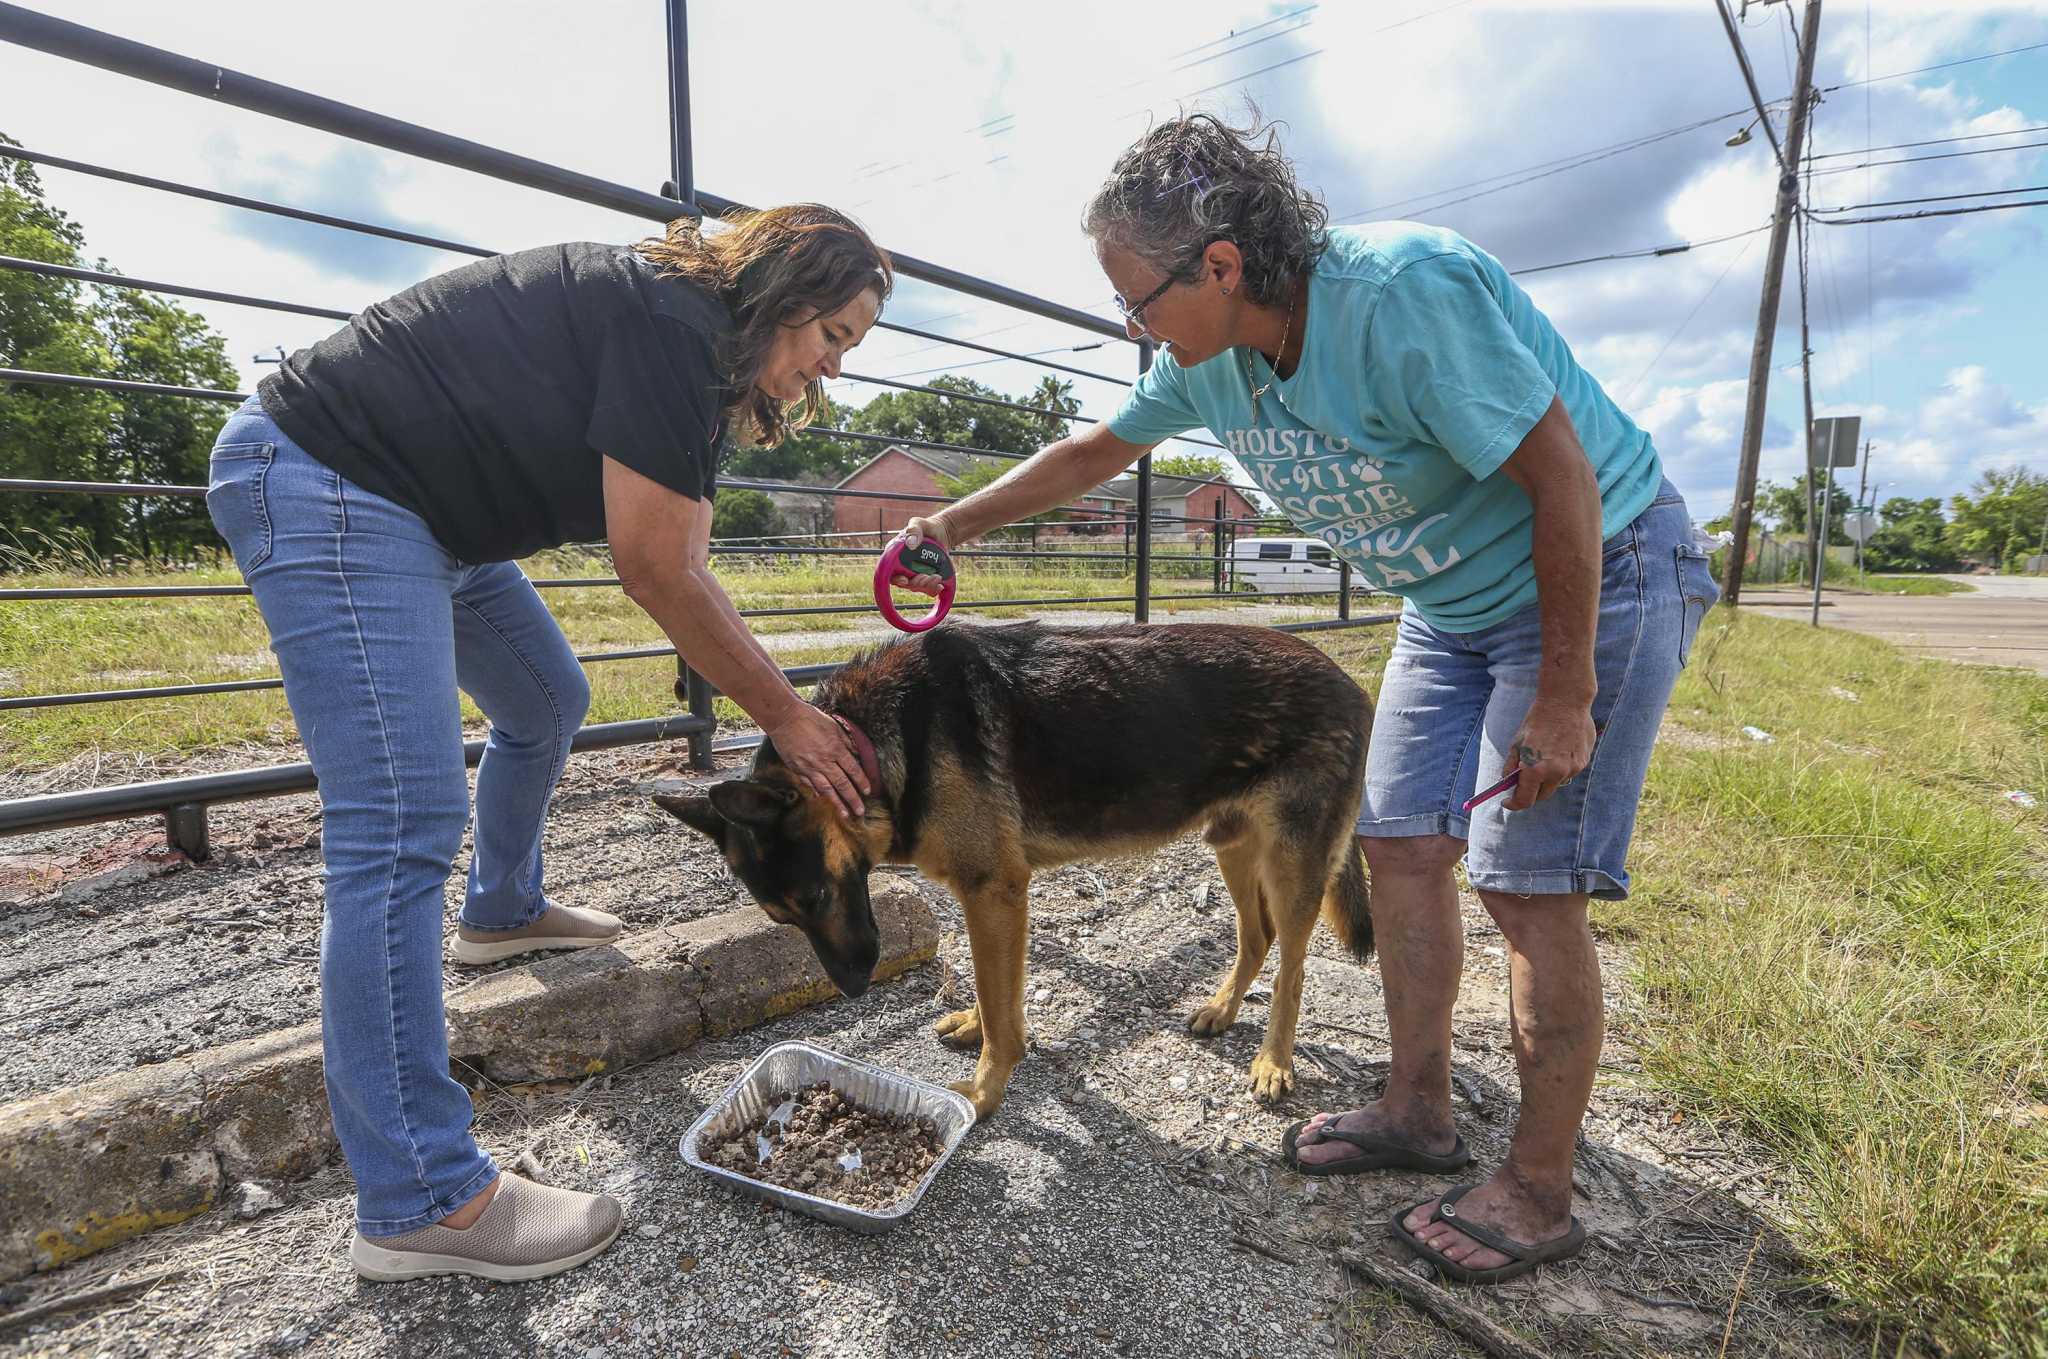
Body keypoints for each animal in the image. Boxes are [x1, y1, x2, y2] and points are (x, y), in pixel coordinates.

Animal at [659, 622, 1376, 1113]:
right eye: (783, 917)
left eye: (814, 897)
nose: (856, 988)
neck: (872, 742)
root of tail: (1350, 682)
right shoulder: (994, 900)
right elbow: (995, 990)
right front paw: (978, 1027)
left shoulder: (993, 891)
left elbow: (1003, 1016)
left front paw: (980, 1096)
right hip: (1232, 846)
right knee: (1257, 937)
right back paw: (1224, 1008)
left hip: (1291, 865)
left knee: (1292, 966)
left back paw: (1273, 1060)